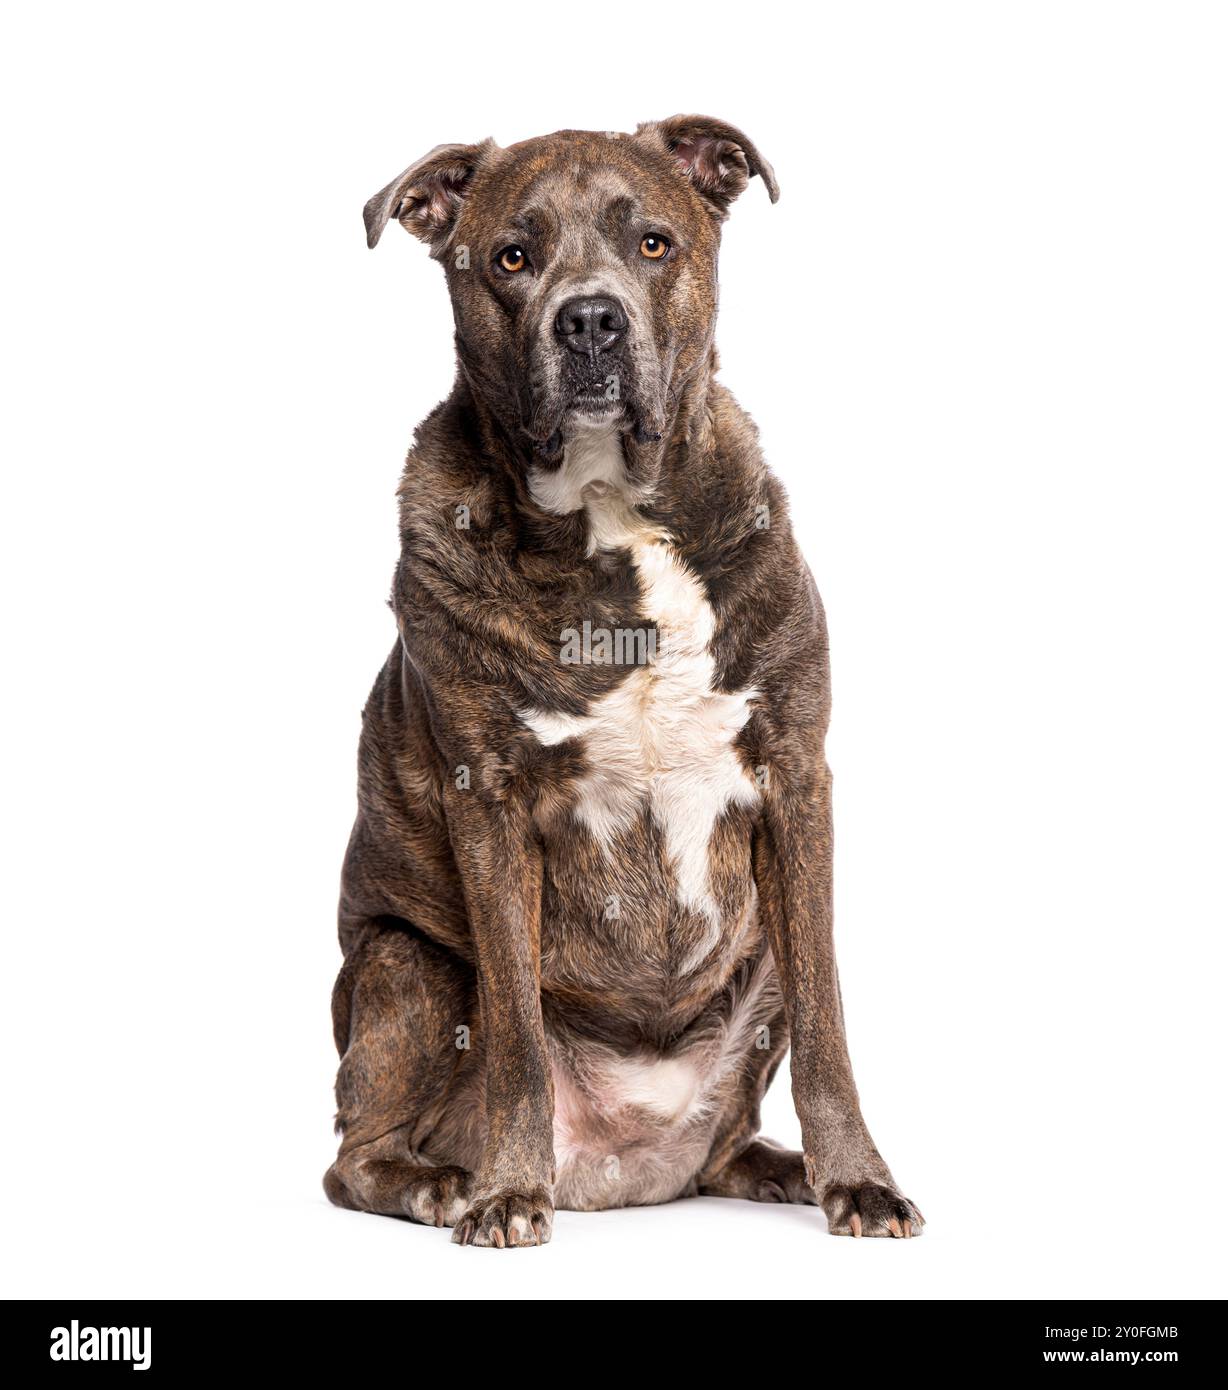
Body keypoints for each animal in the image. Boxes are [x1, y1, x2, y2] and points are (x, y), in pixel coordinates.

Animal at [326, 116, 923, 1251]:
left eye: (654, 243)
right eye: (511, 257)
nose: (591, 319)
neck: (613, 522)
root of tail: (623, 1173)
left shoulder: (795, 778)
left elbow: (828, 1021)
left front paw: (858, 1181)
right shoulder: (488, 802)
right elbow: (516, 1034)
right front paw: (504, 1193)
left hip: (752, 967)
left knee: (739, 1118)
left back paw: (777, 1168)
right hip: (408, 963)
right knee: (352, 1157)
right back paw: (441, 1184)